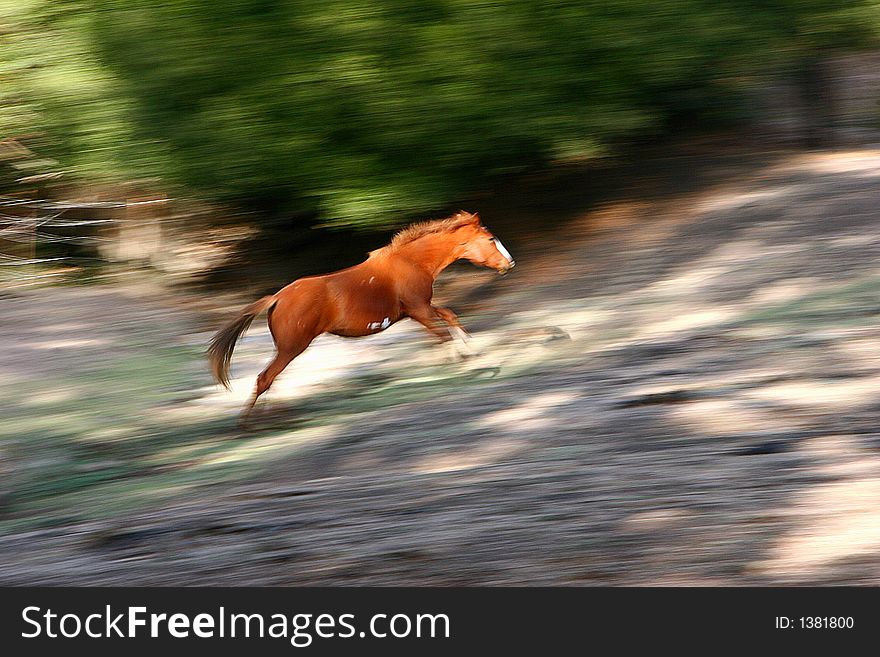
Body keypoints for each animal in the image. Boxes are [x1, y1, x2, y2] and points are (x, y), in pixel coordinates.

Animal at [208, 213, 516, 422]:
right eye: (490, 239)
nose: (509, 263)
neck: (410, 262)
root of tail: (277, 297)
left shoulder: (418, 309)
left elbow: (450, 317)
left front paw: (471, 351)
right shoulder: (419, 310)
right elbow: (442, 334)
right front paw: (462, 362)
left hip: (287, 349)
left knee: (271, 378)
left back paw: (276, 415)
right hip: (292, 347)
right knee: (265, 378)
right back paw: (250, 424)